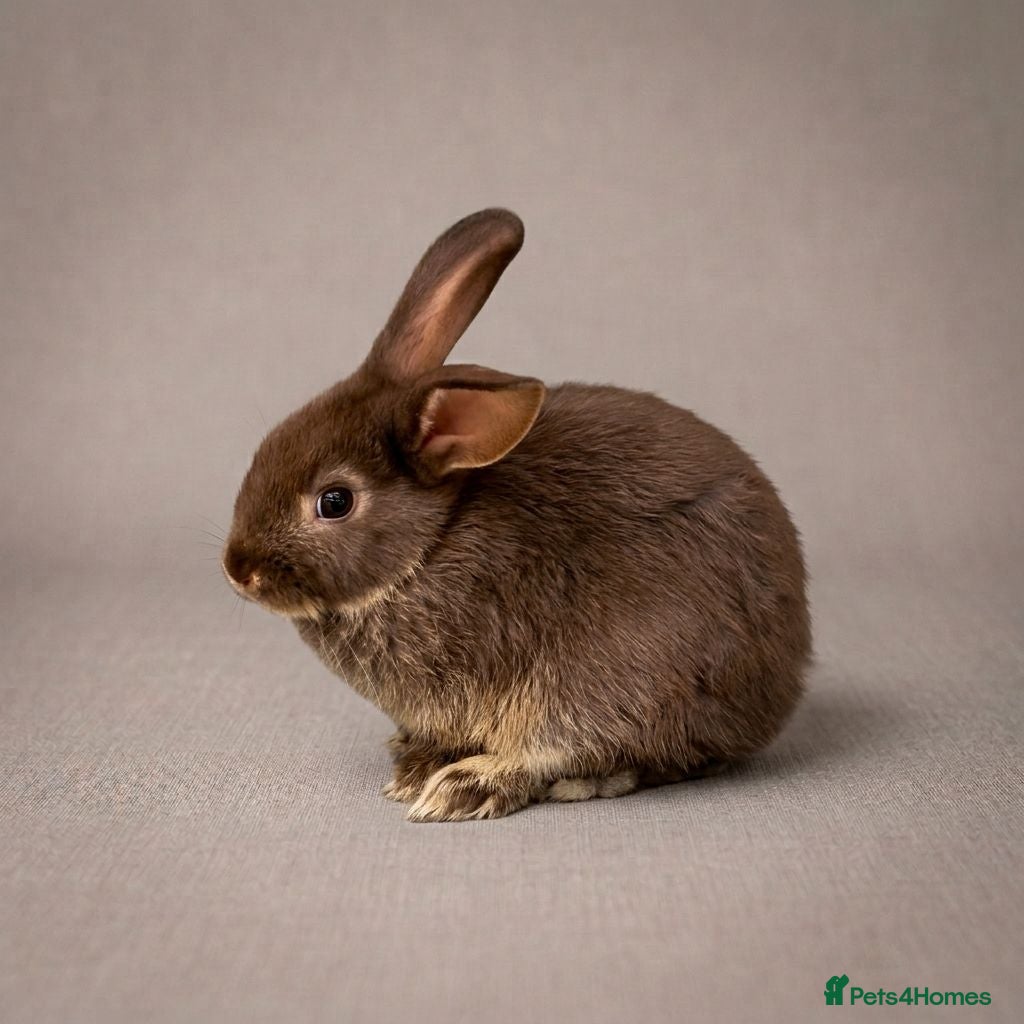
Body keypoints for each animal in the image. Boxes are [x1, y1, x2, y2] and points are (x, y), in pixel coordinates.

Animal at [223, 208, 811, 822]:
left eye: (334, 502)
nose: (238, 570)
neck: (428, 547)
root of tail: (785, 675)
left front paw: (435, 779)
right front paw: (412, 761)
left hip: (629, 672)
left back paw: (472, 785)